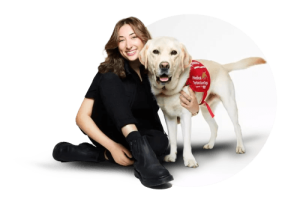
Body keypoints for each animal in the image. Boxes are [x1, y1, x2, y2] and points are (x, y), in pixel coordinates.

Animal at [138, 36, 264, 168]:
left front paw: (189, 160)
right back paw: (210, 144)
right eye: (155, 51)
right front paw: (172, 157)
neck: (169, 91)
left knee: (237, 126)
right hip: (206, 110)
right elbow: (172, 140)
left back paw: (240, 147)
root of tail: (222, 66)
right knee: (215, 126)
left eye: (174, 52)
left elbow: (187, 140)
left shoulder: (186, 115)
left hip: (229, 103)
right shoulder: (169, 117)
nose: (164, 65)